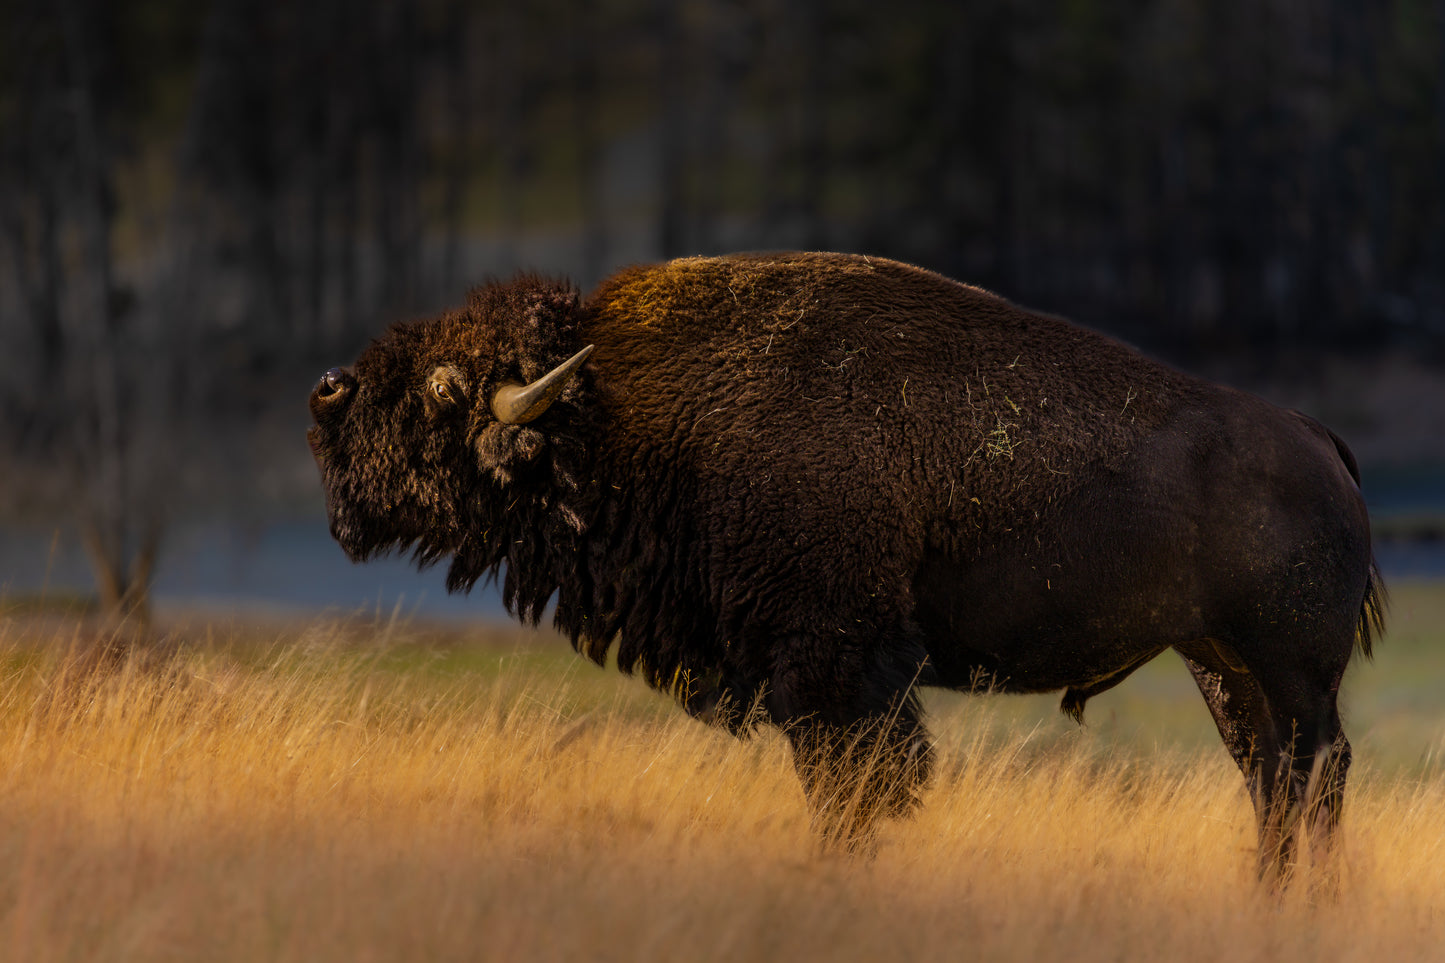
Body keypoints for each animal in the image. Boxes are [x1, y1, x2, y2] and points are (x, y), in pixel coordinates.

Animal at [307, 252, 1383, 885]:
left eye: (439, 391)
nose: (327, 394)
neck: (616, 411)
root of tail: (1319, 440)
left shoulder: (830, 669)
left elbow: (852, 789)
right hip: (1219, 665)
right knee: (1268, 778)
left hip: (1289, 670)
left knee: (1313, 772)